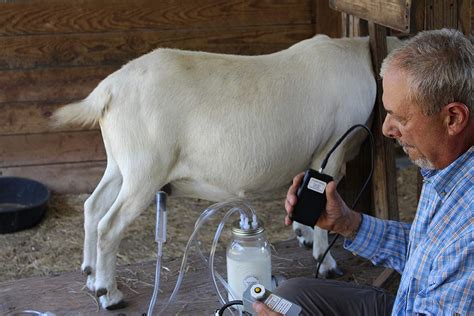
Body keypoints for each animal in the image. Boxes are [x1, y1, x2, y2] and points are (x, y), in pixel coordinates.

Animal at [53, 34, 398, 308]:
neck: (359, 56)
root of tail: (108, 89)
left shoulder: (313, 154)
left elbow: (303, 192)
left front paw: (304, 235)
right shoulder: (333, 146)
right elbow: (322, 201)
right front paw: (326, 263)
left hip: (119, 163)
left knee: (93, 206)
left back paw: (89, 274)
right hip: (144, 168)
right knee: (109, 225)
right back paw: (108, 294)